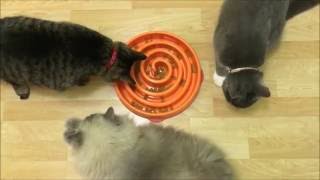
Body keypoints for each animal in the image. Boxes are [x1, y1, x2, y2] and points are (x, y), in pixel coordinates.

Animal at [0, 16, 146, 99]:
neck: (106, 54)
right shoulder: (69, 80)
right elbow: (80, 80)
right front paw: (85, 81)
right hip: (14, 74)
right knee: (12, 81)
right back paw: (22, 89)